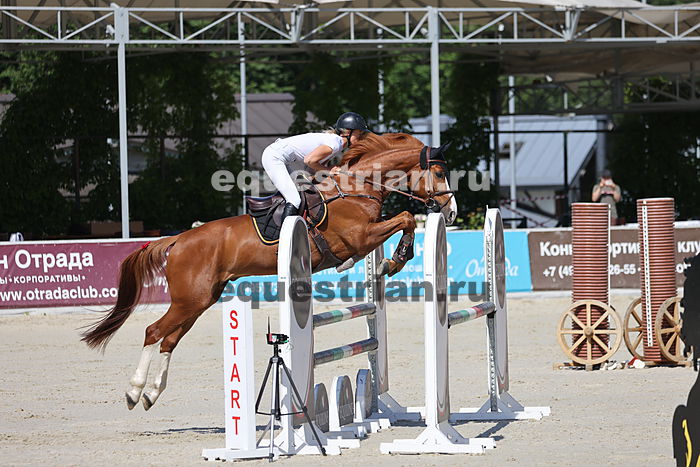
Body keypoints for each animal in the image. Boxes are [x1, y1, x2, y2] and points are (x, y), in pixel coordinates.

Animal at [81, 132, 458, 410]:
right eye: (439, 173)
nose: (451, 212)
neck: (355, 188)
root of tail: (178, 239)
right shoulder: (360, 237)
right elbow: (406, 218)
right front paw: (394, 260)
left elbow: (405, 220)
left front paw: (392, 261)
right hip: (189, 300)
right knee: (153, 331)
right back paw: (134, 391)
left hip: (199, 301)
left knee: (169, 339)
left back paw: (150, 394)